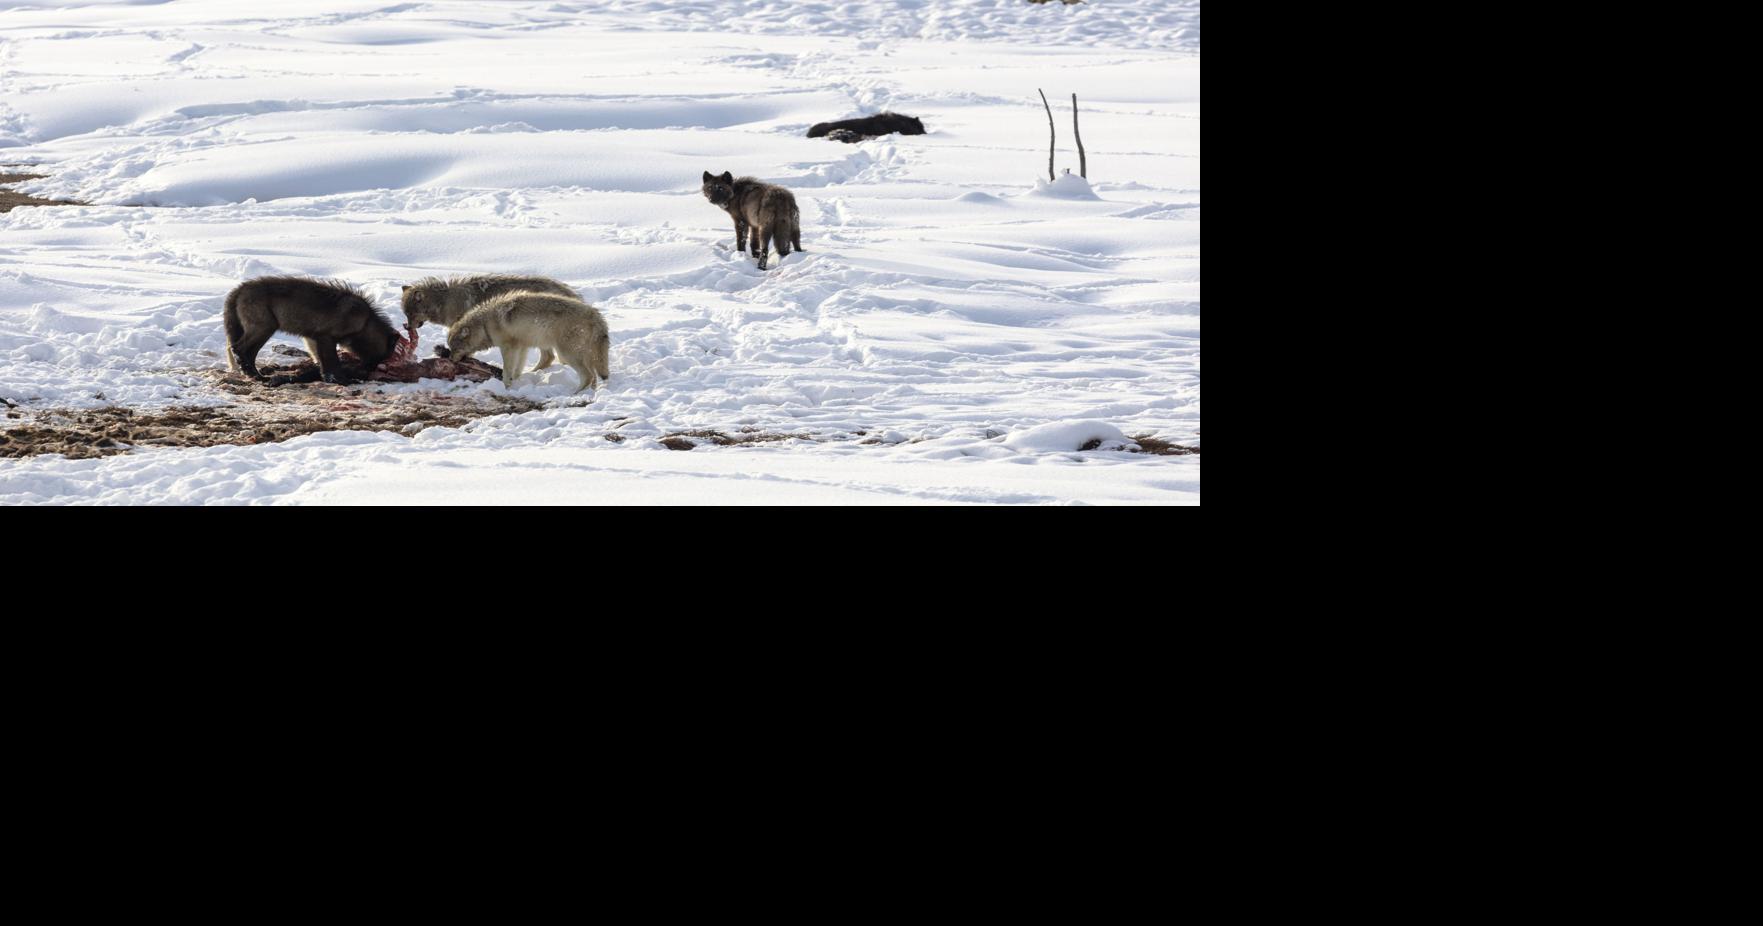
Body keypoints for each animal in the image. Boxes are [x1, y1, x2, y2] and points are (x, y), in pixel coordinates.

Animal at [223, 276, 402, 383]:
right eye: (383, 357)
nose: (367, 373)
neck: (365, 322)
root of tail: (238, 289)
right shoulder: (326, 337)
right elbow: (332, 363)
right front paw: (341, 380)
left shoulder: (313, 339)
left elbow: (321, 361)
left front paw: (327, 377)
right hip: (265, 329)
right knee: (238, 349)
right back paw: (254, 375)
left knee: (245, 352)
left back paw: (254, 374)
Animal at [402, 274, 580, 371]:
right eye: (405, 314)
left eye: (410, 314)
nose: (407, 327)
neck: (445, 302)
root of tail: (569, 292)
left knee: (549, 357)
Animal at [447, 291, 611, 394]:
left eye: (454, 348)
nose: (450, 359)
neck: (485, 324)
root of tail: (595, 315)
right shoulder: (522, 347)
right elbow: (517, 369)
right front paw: (515, 382)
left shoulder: (508, 347)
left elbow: (507, 370)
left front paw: (506, 387)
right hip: (583, 355)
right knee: (594, 376)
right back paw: (591, 392)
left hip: (566, 354)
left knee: (588, 376)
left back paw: (575, 394)